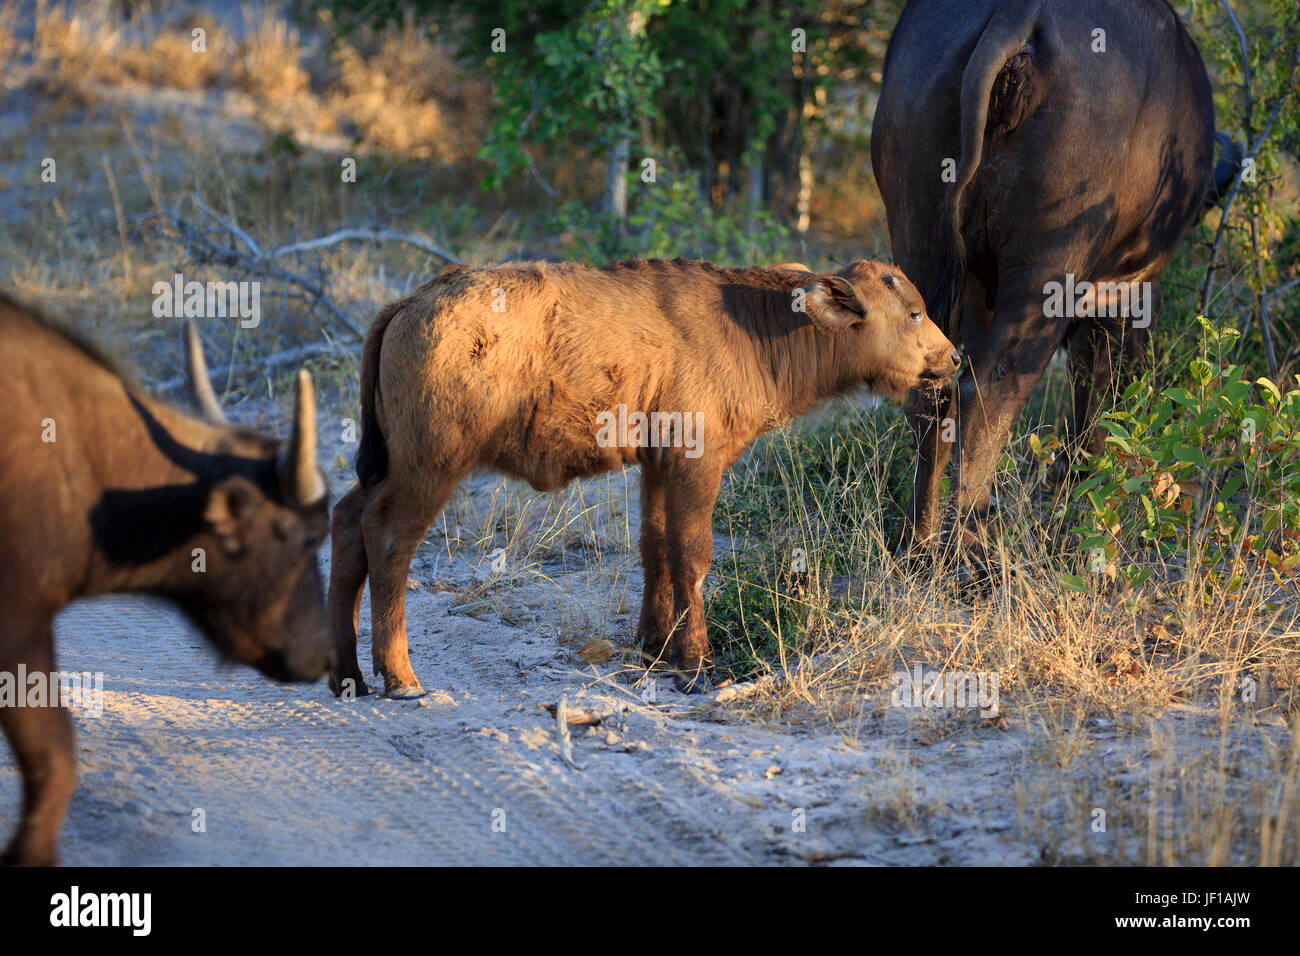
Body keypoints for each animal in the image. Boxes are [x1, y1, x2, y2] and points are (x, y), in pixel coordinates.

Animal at [325, 257, 956, 697]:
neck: (750, 325)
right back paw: (400, 677)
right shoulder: (696, 464)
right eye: (914, 313)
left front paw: (655, 647)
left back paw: (347, 675)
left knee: (346, 520)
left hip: (389, 467)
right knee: (387, 539)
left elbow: (655, 547)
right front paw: (695, 664)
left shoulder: (657, 464)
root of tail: (412, 300)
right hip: (431, 466)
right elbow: (693, 553)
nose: (952, 358)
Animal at [873, 0, 1227, 567]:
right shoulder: (1121, 291)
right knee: (989, 396)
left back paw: (918, 543)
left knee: (932, 395)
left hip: (919, 240)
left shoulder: (981, 290)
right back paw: (972, 550)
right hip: (1048, 270)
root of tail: (1018, 15)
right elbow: (1101, 392)